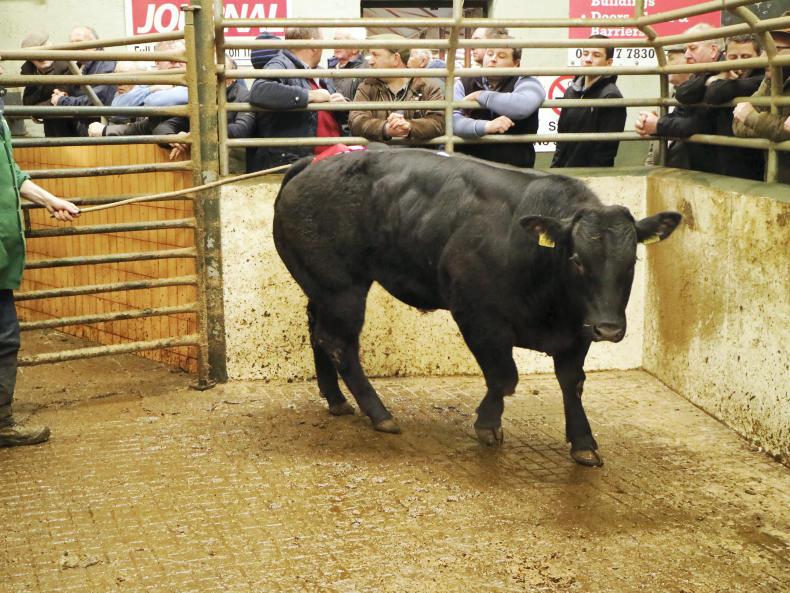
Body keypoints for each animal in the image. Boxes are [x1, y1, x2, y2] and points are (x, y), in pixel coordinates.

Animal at [272, 148, 681, 466]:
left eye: (632, 262)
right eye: (577, 260)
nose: (609, 329)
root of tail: (311, 164)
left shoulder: (578, 328)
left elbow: (573, 382)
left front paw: (583, 442)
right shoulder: (478, 317)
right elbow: (504, 377)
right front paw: (487, 424)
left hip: (322, 287)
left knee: (318, 333)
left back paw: (337, 399)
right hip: (342, 288)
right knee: (340, 344)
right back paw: (379, 413)